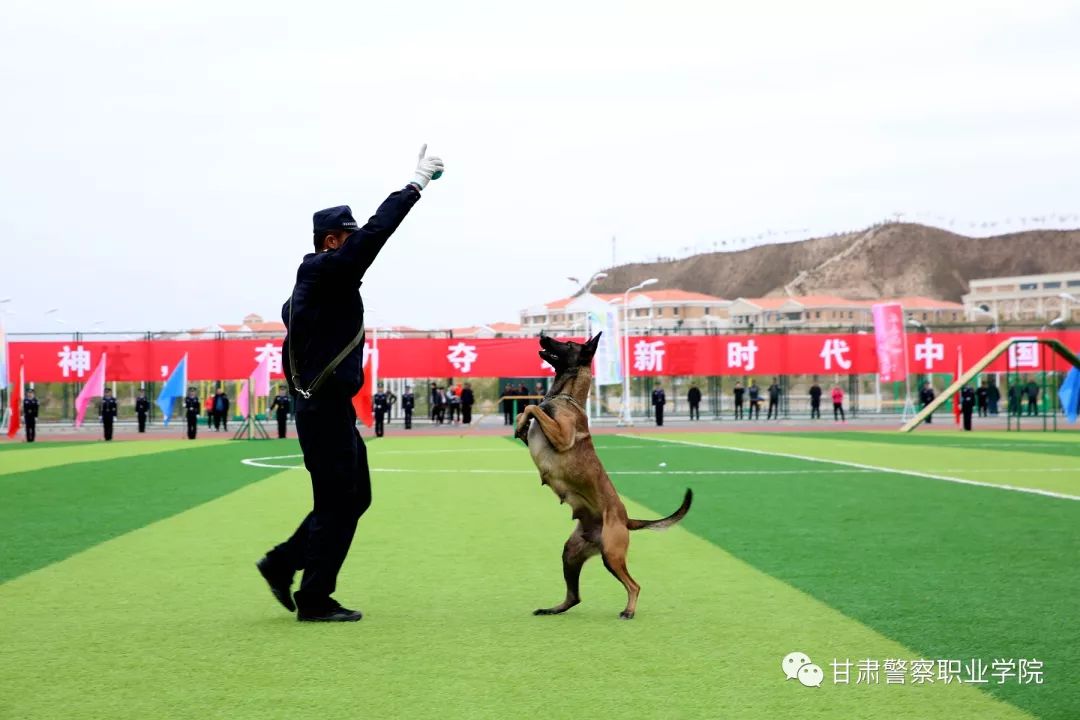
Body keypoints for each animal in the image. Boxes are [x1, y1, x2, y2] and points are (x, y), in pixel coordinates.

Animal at [514, 332, 691, 621]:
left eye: (568, 344)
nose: (542, 335)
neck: (566, 397)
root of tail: (626, 519)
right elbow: (527, 410)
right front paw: (519, 425)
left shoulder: (562, 436)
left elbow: (533, 407)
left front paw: (524, 420)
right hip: (571, 553)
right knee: (574, 597)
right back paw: (553, 609)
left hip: (612, 554)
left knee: (634, 585)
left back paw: (629, 611)